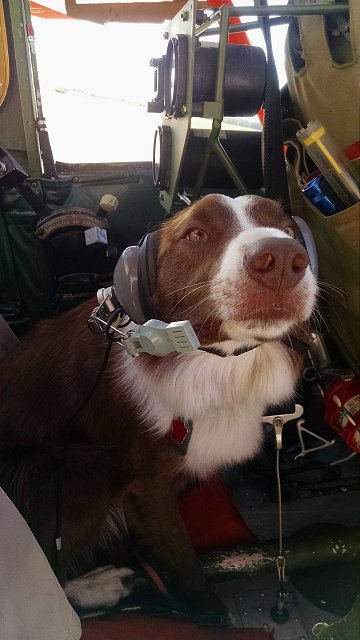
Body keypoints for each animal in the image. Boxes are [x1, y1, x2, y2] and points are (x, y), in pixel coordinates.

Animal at [0, 194, 316, 620]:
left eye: (287, 230)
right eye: (195, 234)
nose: (282, 258)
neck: (220, 365)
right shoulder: (144, 489)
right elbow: (183, 557)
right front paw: (208, 611)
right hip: (81, 468)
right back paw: (98, 586)